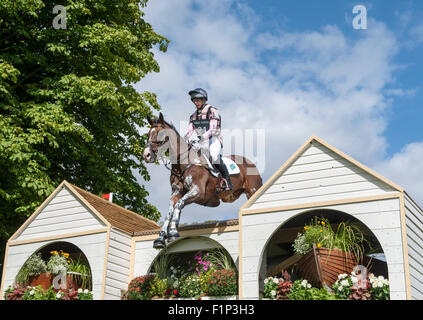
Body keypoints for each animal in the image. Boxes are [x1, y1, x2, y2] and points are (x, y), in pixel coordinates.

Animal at [144, 112, 264, 250]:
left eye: (160, 134)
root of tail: (251, 163)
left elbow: (179, 204)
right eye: (148, 134)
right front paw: (160, 238)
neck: (183, 164)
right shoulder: (176, 192)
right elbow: (170, 211)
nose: (146, 155)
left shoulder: (197, 192)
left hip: (253, 191)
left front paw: (173, 232)